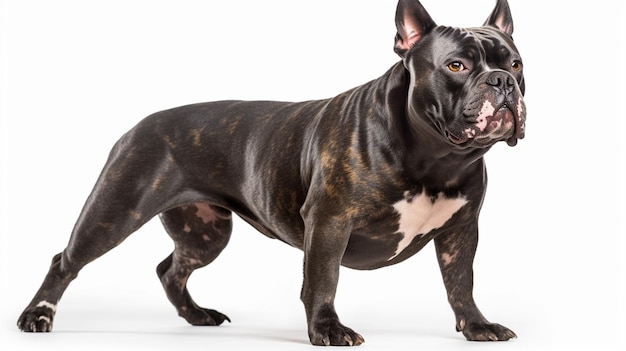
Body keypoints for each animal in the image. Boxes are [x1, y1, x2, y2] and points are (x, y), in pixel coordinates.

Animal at [17, 0, 520, 346]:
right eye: (456, 65)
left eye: (516, 63)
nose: (503, 81)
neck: (437, 156)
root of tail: (139, 125)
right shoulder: (330, 223)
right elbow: (322, 280)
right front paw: (327, 329)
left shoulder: (461, 231)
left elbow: (461, 282)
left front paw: (476, 326)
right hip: (114, 210)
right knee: (66, 260)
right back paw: (37, 316)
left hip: (206, 233)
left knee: (170, 269)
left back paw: (197, 316)